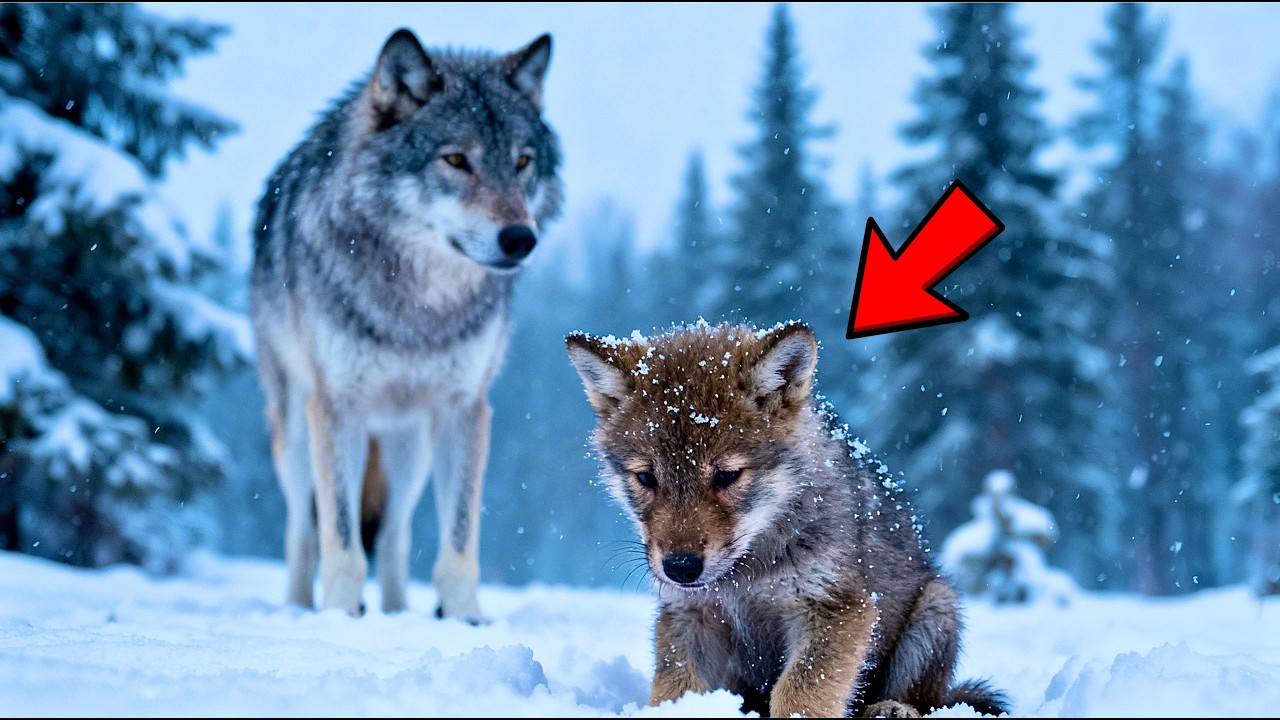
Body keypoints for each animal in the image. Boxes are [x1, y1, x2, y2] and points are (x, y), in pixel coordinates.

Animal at [250, 27, 562, 619]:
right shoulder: (337, 407)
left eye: (522, 161)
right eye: (456, 159)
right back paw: (300, 609)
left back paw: (395, 613)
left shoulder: (464, 408)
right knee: (302, 530)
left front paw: (465, 620)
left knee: (395, 536)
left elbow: (457, 544)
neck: (420, 309)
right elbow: (342, 543)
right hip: (296, 432)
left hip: (408, 448)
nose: (520, 239)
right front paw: (339, 616)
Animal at [566, 321, 1008, 718]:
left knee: (924, 699)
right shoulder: (689, 615)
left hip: (937, 607)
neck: (747, 576)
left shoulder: (836, 608)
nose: (681, 568)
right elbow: (674, 691)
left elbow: (799, 692)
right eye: (646, 478)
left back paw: (890, 709)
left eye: (726, 475)